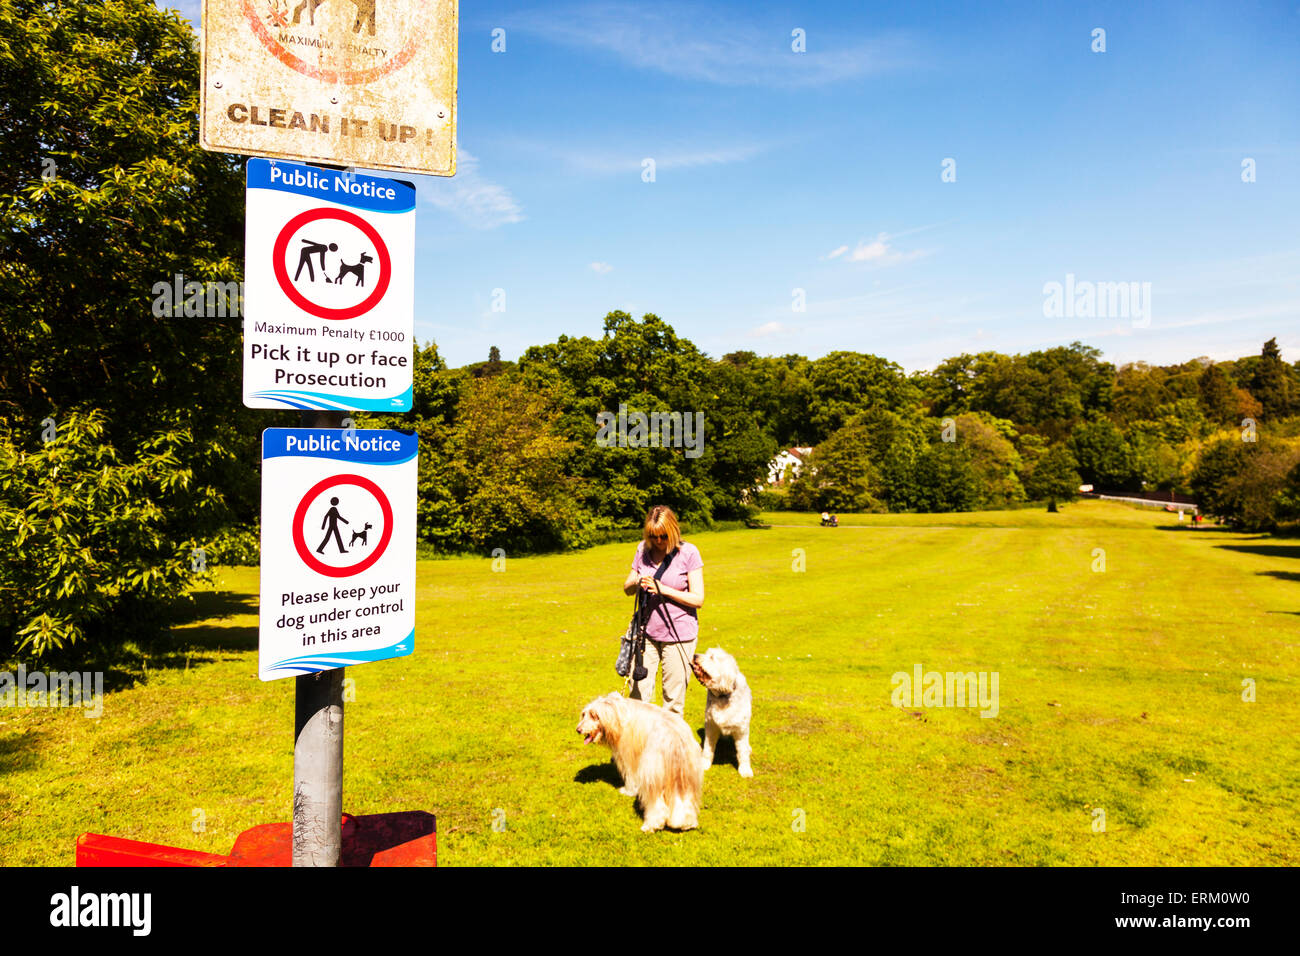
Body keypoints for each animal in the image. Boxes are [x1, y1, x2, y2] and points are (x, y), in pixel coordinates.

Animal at [577, 691, 702, 832]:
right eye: (584, 714)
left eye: (594, 715)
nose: (578, 730)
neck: (618, 714)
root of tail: (674, 740)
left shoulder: (629, 757)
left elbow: (630, 778)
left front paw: (628, 791)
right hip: (686, 776)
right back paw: (686, 823)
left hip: (653, 775)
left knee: (657, 805)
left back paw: (650, 825)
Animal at [691, 650, 754, 780]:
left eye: (711, 657)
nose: (695, 655)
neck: (722, 697)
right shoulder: (711, 726)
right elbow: (708, 749)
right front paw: (704, 764)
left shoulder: (741, 730)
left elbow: (743, 751)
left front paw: (745, 770)